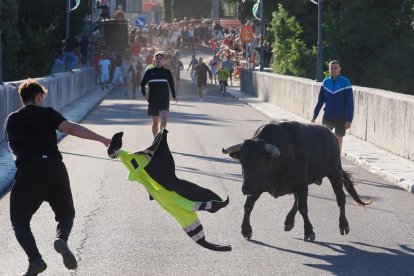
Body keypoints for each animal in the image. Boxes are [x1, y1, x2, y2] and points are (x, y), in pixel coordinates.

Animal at [223, 121, 372, 242]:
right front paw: (246, 230)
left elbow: (303, 208)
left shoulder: (302, 185)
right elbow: (248, 206)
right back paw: (289, 221)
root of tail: (331, 135)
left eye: (260, 162)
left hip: (334, 173)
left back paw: (344, 225)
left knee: (340, 199)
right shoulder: (258, 187)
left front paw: (309, 231)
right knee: (296, 200)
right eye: (242, 162)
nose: (246, 188)